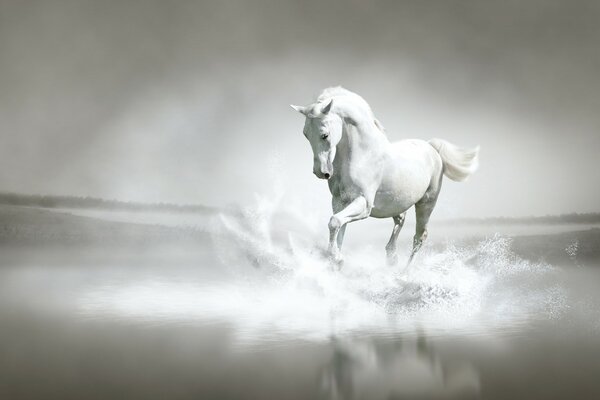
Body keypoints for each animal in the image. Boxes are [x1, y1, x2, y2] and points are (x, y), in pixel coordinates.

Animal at [290, 88, 478, 266]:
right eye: (305, 134)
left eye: (324, 135)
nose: (321, 172)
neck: (362, 156)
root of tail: (431, 148)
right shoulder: (339, 202)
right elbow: (338, 228)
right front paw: (335, 260)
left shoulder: (364, 203)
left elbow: (335, 222)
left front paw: (336, 258)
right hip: (397, 202)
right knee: (401, 220)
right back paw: (391, 257)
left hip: (426, 204)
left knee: (419, 237)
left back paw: (403, 272)